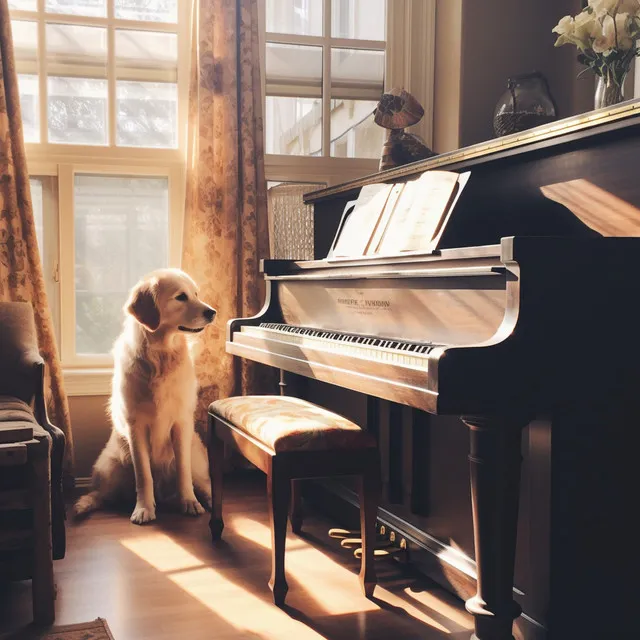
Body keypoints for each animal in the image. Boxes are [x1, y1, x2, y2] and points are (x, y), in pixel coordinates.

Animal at [74, 268, 215, 524]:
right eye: (181, 297)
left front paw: (189, 502)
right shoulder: (135, 426)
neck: (160, 355)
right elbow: (144, 475)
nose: (212, 312)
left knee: (203, 483)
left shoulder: (181, 423)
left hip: (197, 457)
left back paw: (208, 500)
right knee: (102, 493)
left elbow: (183, 472)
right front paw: (144, 508)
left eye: (196, 294)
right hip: (112, 465)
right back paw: (83, 505)